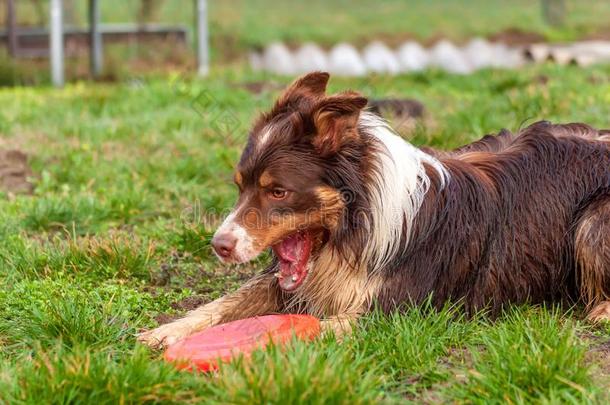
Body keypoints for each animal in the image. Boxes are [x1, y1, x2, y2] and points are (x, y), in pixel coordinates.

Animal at [138, 72, 608, 348]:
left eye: (278, 192)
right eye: (240, 187)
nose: (219, 245)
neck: (353, 230)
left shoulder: (402, 310)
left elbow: (317, 327)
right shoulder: (291, 281)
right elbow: (222, 302)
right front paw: (165, 331)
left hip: (593, 221)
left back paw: (600, 312)